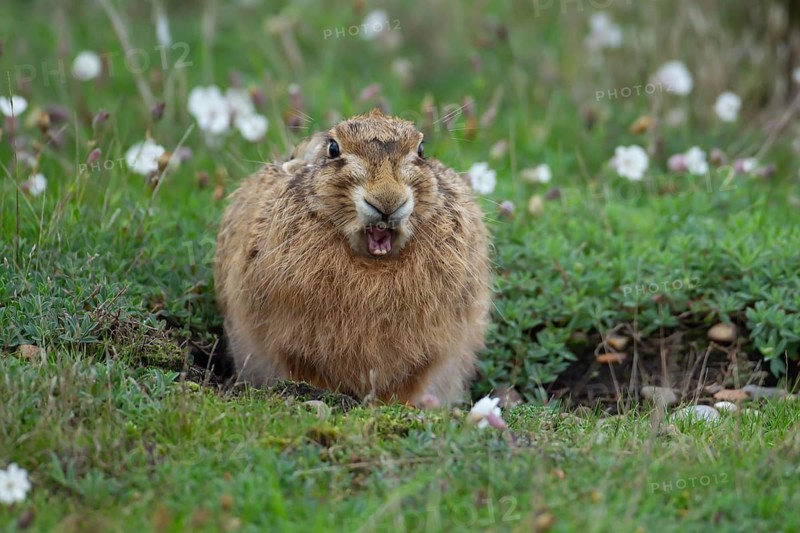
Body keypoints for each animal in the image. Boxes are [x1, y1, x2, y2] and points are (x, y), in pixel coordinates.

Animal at [214, 109, 492, 405]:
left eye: (421, 150)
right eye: (333, 149)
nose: (387, 200)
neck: (373, 263)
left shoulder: (432, 350)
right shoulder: (291, 342)